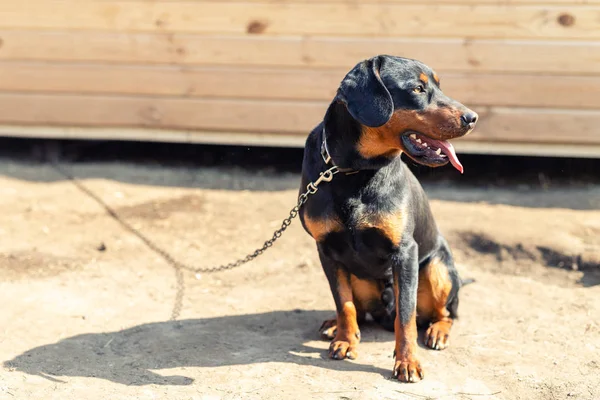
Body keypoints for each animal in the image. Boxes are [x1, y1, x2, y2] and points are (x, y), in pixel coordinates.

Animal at [298, 54, 478, 382]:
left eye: (439, 86)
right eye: (418, 88)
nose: (473, 117)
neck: (354, 170)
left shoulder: (405, 252)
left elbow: (405, 317)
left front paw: (407, 361)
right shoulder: (326, 249)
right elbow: (343, 303)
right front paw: (345, 339)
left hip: (438, 269)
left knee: (444, 312)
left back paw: (438, 331)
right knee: (359, 309)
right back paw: (336, 327)